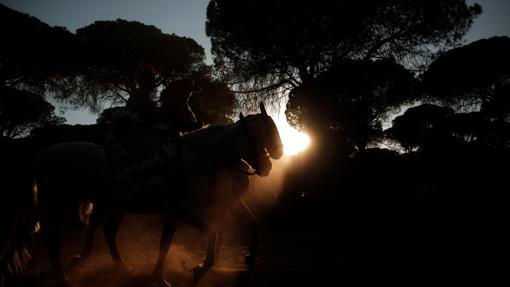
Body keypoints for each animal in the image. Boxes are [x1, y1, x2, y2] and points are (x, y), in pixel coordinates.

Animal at [33, 102, 284, 286]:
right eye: (257, 135)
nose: (271, 162)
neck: (195, 160)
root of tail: (42, 154)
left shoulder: (180, 211)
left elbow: (167, 243)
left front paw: (159, 276)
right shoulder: (187, 210)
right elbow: (211, 232)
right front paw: (199, 269)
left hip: (114, 206)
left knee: (105, 230)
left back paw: (118, 266)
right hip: (59, 204)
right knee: (59, 237)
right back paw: (67, 273)